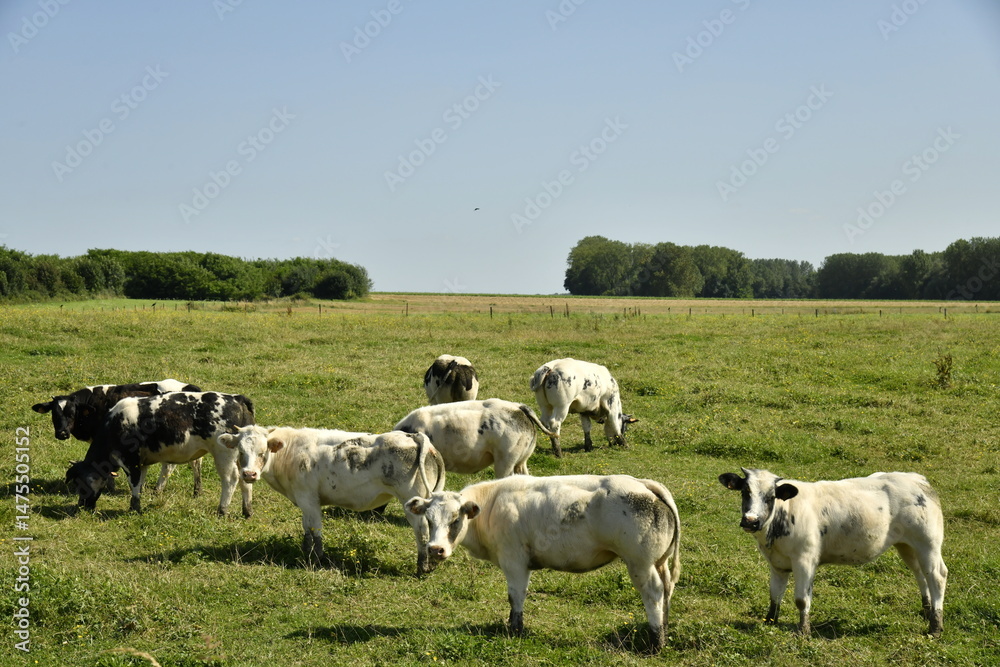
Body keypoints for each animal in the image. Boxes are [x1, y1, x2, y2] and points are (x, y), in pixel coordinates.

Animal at [33, 379, 203, 495]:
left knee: (169, 466)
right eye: (54, 414)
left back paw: (158, 490)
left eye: (72, 413)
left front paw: (110, 487)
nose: (62, 433)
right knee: (193, 463)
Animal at [65, 392, 256, 517]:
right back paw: (247, 511)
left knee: (231, 480)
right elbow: (140, 482)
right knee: (245, 480)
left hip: (224, 454)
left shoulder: (130, 460)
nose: (82, 505)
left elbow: (134, 483)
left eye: (83, 483)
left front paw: (134, 508)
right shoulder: (142, 462)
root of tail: (236, 398)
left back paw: (222, 510)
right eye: (75, 482)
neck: (115, 425)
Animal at [218, 426, 447, 575]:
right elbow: (307, 529)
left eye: (262, 451)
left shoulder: (309, 498)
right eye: (240, 451)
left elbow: (316, 530)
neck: (290, 451)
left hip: (411, 501)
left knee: (422, 532)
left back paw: (422, 567)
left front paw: (317, 559)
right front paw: (306, 553)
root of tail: (413, 436)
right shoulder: (304, 501)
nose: (248, 474)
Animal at [405, 474, 681, 652]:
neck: (491, 505)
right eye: (429, 519)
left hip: (640, 564)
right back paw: (665, 630)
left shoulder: (514, 561)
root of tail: (643, 484)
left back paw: (656, 642)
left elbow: (516, 596)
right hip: (659, 563)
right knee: (667, 590)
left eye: (455, 519)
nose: (436, 549)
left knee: (654, 594)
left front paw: (515, 630)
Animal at [718, 467, 948, 637]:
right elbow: (775, 595)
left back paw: (935, 628)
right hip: (907, 546)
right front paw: (770, 623)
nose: (750, 520)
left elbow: (802, 599)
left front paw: (804, 631)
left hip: (928, 543)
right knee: (920, 575)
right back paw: (927, 613)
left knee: (937, 576)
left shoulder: (805, 560)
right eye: (745, 492)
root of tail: (915, 478)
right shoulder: (777, 563)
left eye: (771, 496)